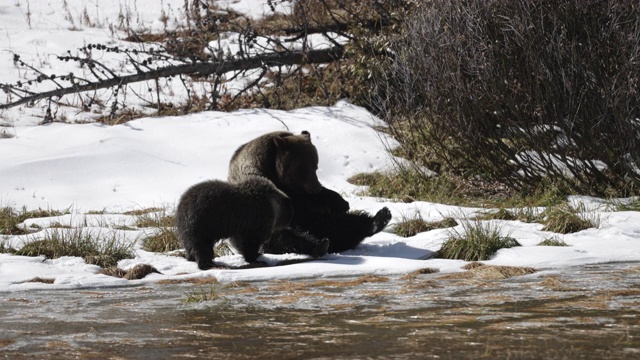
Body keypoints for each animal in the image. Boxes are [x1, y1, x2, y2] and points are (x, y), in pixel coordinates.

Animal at [228, 131, 392, 255]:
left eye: (315, 165)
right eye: (301, 168)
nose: (316, 187)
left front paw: (342, 202)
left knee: (342, 225)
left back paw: (379, 219)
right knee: (284, 236)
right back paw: (318, 245)